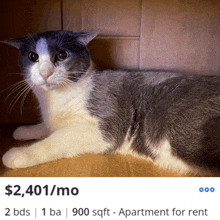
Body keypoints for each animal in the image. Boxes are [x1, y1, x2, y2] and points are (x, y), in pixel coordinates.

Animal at [1, 30, 220, 176]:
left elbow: (56, 139)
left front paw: (19, 153)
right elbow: (48, 127)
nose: (45, 73)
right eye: (33, 57)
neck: (56, 100)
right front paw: (24, 130)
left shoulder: (105, 128)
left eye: (62, 55)